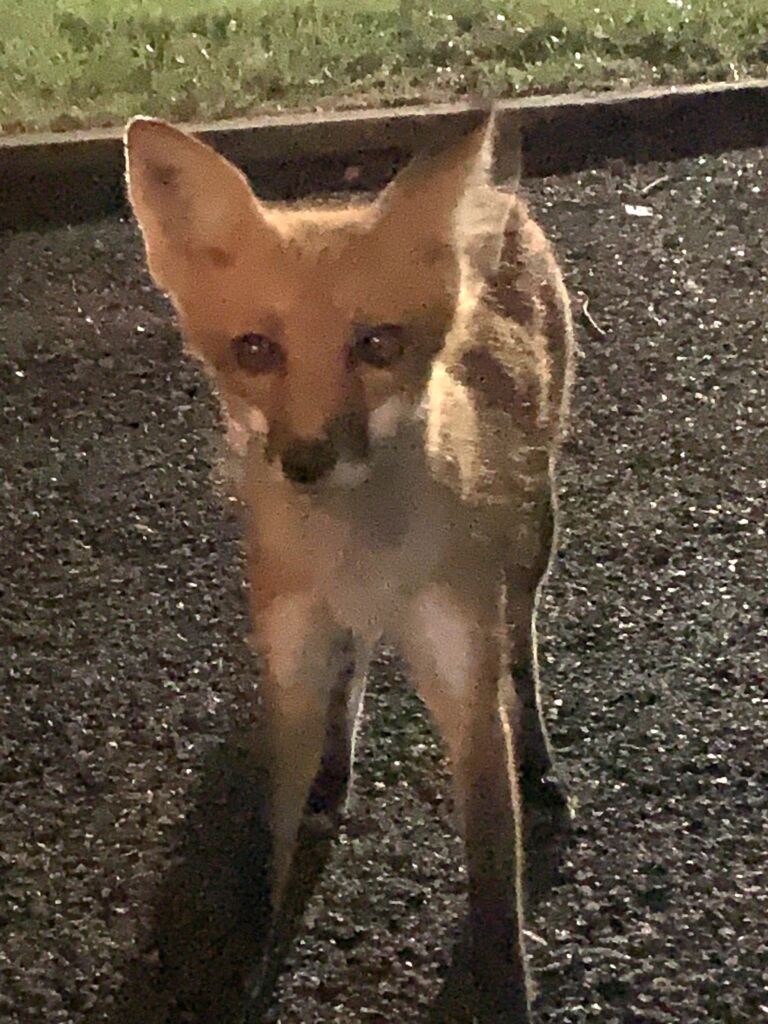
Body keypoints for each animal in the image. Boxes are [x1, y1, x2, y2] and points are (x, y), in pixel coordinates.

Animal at [124, 106, 575, 1022]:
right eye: (255, 350)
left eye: (377, 344)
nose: (305, 461)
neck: (362, 560)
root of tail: (503, 208)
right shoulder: (291, 661)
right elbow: (269, 861)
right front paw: (250, 970)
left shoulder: (465, 686)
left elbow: (494, 884)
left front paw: (503, 989)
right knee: (355, 671)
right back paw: (336, 773)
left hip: (531, 547)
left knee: (522, 647)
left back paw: (541, 757)